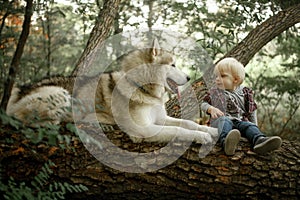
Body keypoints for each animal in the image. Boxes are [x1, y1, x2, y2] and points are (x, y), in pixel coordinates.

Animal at [6, 38, 218, 144]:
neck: (141, 87)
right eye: (173, 65)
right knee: (26, 119)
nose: (189, 78)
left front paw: (210, 130)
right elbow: (178, 130)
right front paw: (202, 137)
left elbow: (188, 123)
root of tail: (20, 91)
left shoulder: (159, 118)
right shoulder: (144, 130)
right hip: (62, 95)